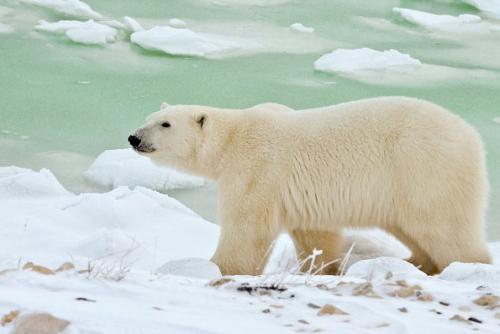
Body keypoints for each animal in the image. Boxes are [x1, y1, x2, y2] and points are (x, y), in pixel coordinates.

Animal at [130, 97, 492, 276]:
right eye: (148, 119)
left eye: (165, 124)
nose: (134, 137)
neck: (233, 139)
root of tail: (471, 135)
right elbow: (315, 233)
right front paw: (322, 268)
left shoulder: (257, 171)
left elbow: (247, 229)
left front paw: (215, 267)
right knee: (411, 228)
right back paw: (413, 262)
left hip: (424, 168)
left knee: (444, 226)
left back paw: (466, 266)